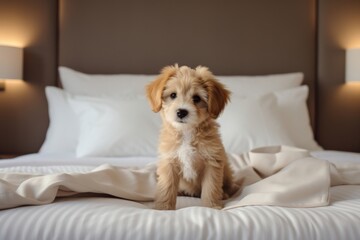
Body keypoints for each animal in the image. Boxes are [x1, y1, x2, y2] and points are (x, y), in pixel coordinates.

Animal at [147, 63, 236, 210]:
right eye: (173, 95)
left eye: (196, 98)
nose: (182, 112)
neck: (186, 132)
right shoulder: (169, 161)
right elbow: (167, 186)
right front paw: (163, 207)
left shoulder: (212, 161)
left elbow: (211, 186)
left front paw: (211, 206)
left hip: (227, 172)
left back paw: (224, 194)